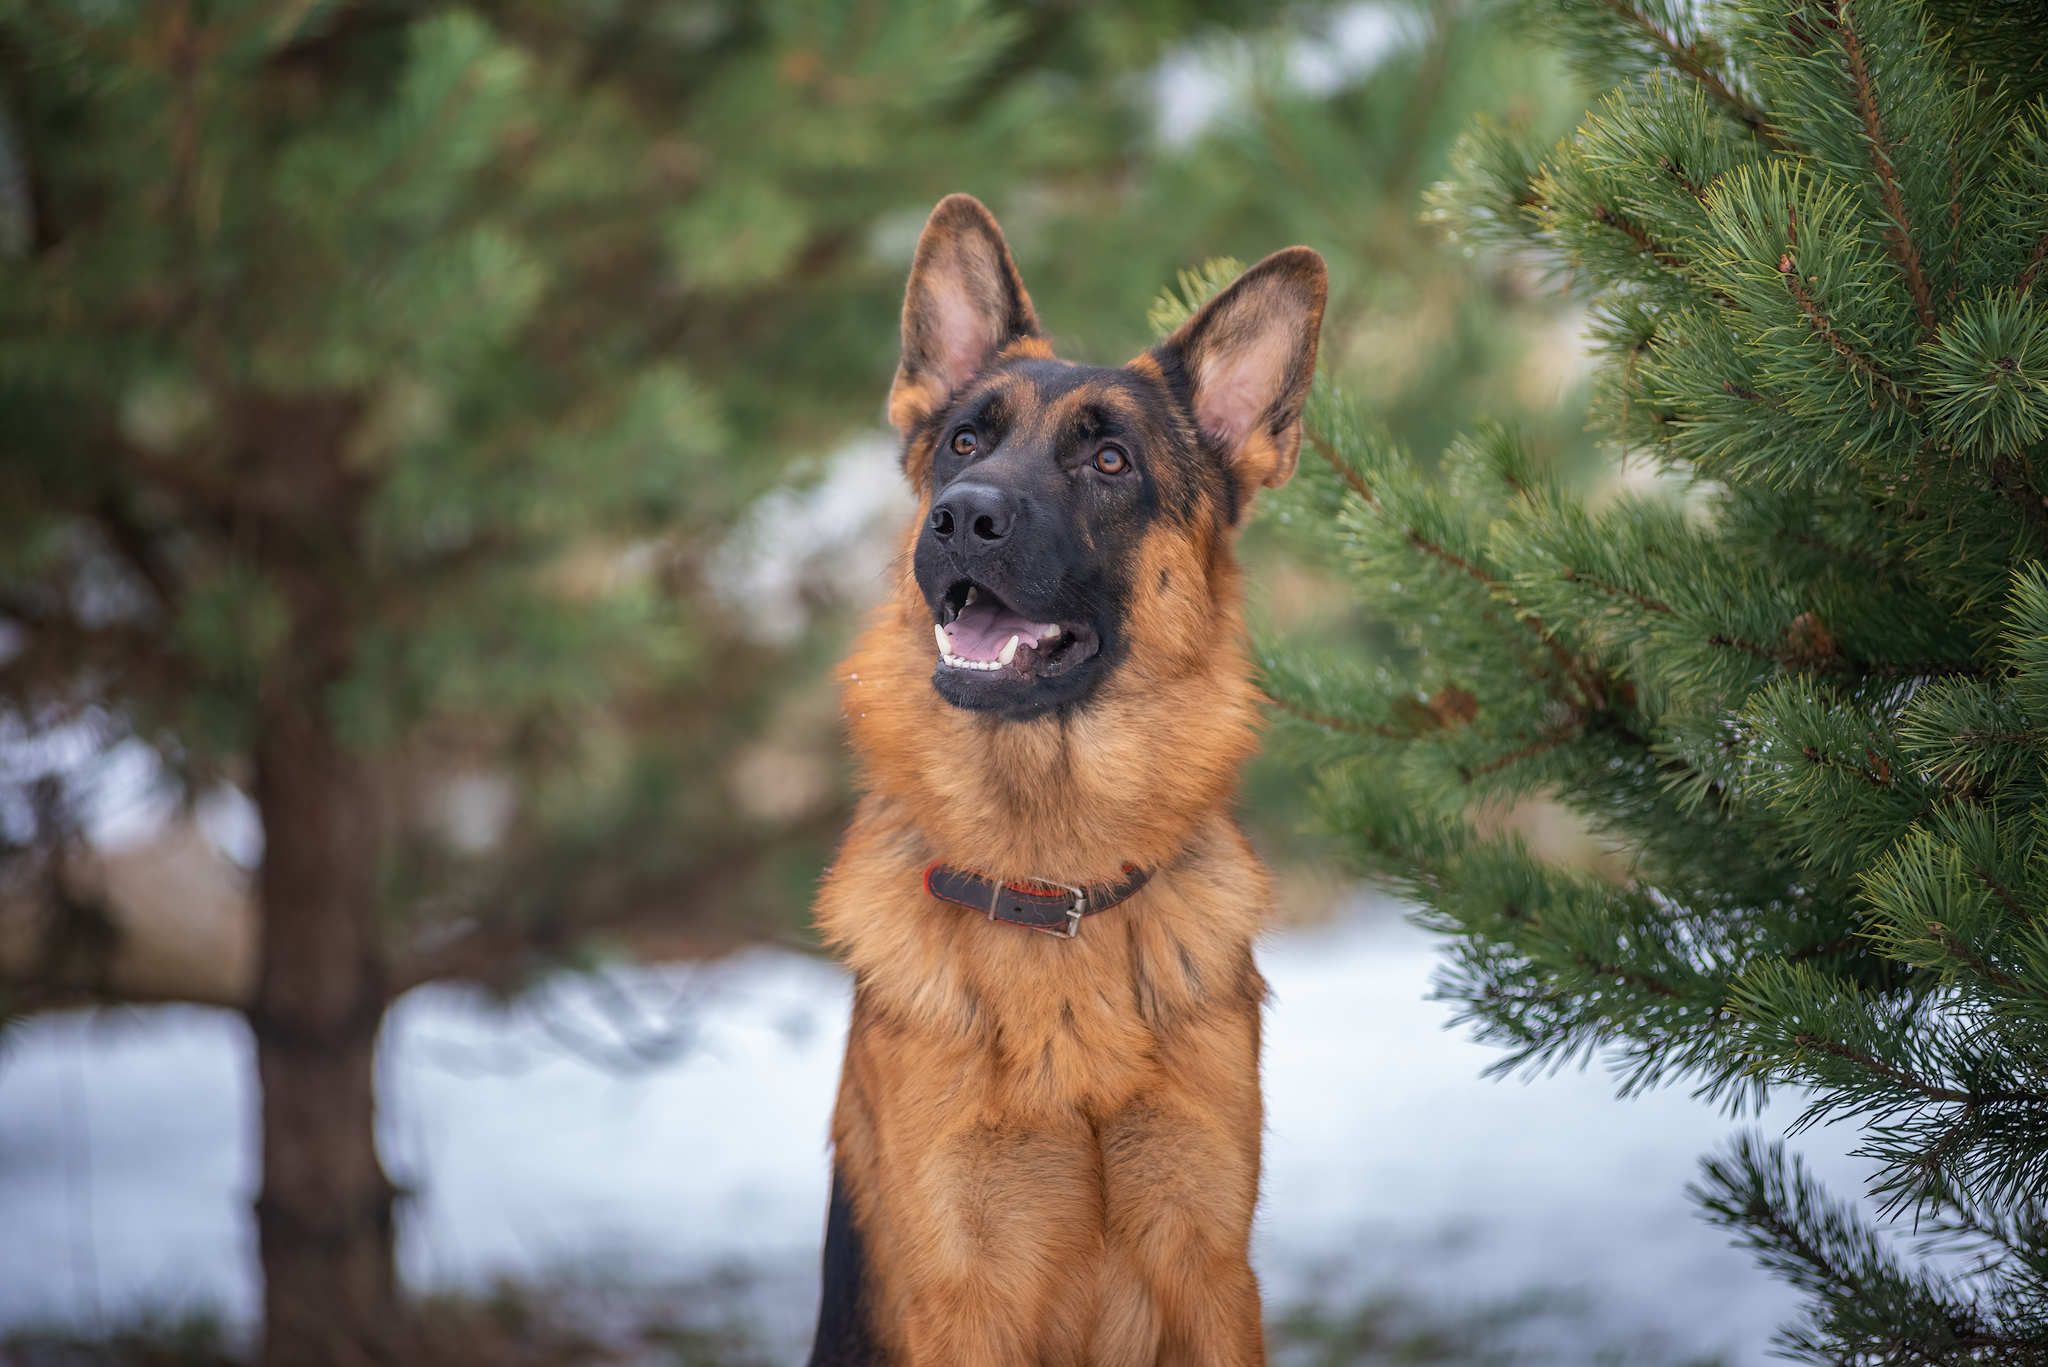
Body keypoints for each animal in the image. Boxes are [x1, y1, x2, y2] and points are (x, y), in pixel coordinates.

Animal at [806, 194, 1335, 1367]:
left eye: (1110, 462)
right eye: (966, 440)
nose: (962, 514)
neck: (1054, 879)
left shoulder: (1210, 1276)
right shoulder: (964, 1296)